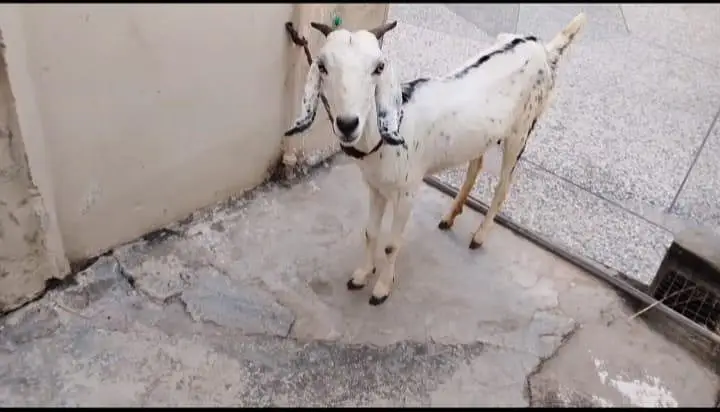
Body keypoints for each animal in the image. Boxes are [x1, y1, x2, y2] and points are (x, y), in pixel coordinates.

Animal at [284, 13, 587, 306]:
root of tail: (544, 49)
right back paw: (450, 216)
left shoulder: (407, 192)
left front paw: (381, 289)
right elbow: (370, 233)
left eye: (379, 67)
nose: (347, 124)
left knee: (503, 185)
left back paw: (479, 236)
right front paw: (361, 275)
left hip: (521, 130)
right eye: (322, 66)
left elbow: (391, 245)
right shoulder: (376, 188)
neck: (392, 130)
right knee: (475, 165)